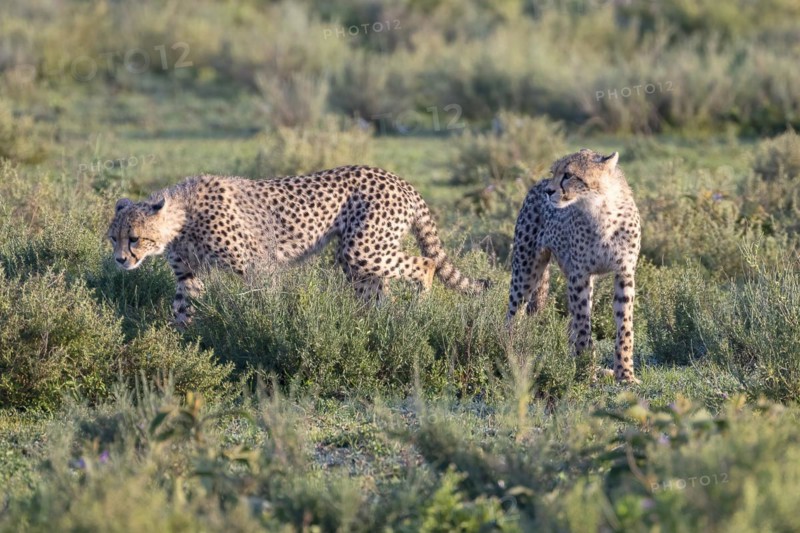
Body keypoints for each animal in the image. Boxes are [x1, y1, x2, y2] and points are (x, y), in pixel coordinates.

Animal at [107, 165, 490, 327]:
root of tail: (398, 179)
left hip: (361, 249)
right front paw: (181, 345)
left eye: (135, 238)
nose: (120, 260)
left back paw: (417, 310)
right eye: (113, 238)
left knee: (426, 264)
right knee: (378, 294)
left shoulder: (258, 265)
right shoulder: (188, 274)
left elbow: (265, 301)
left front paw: (267, 326)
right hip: (360, 256)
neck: (181, 217)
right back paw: (373, 327)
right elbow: (182, 307)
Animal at [506, 149, 641, 383]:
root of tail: (535, 184)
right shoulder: (579, 275)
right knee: (513, 313)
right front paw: (586, 371)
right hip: (526, 268)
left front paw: (625, 374)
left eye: (568, 175)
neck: (602, 209)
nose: (549, 191)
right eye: (554, 172)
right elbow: (583, 324)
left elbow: (625, 326)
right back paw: (508, 351)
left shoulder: (624, 273)